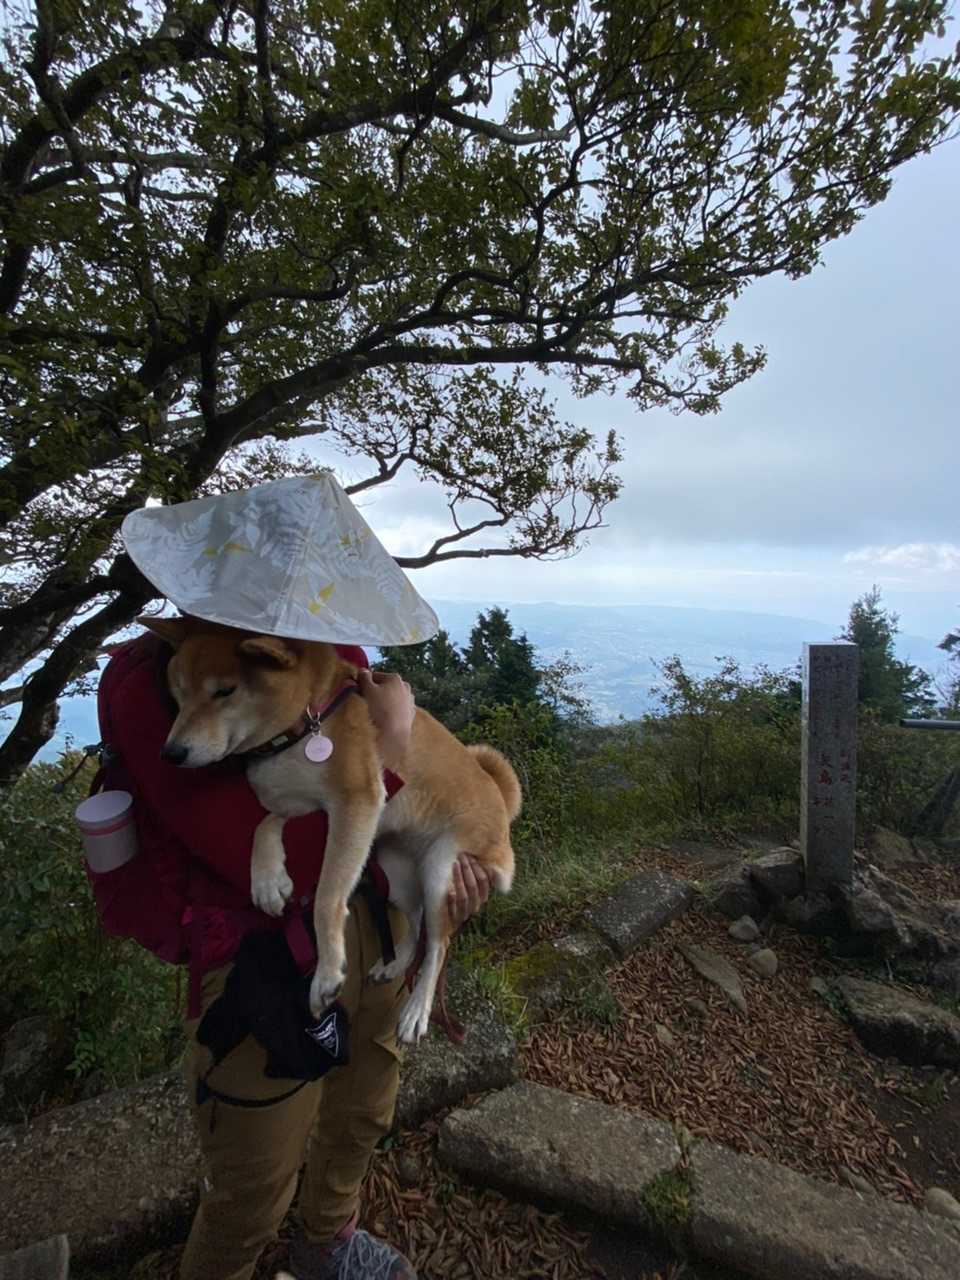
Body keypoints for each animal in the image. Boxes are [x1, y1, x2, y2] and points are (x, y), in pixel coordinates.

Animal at [140, 615, 520, 1043]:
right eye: (177, 694)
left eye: (225, 691)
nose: (170, 753)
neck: (305, 726)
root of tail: (500, 799)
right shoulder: (300, 805)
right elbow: (264, 825)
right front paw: (268, 880)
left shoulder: (355, 805)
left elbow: (326, 898)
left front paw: (326, 974)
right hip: (394, 867)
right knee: (417, 920)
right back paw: (393, 964)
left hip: (441, 866)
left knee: (439, 943)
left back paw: (416, 1011)